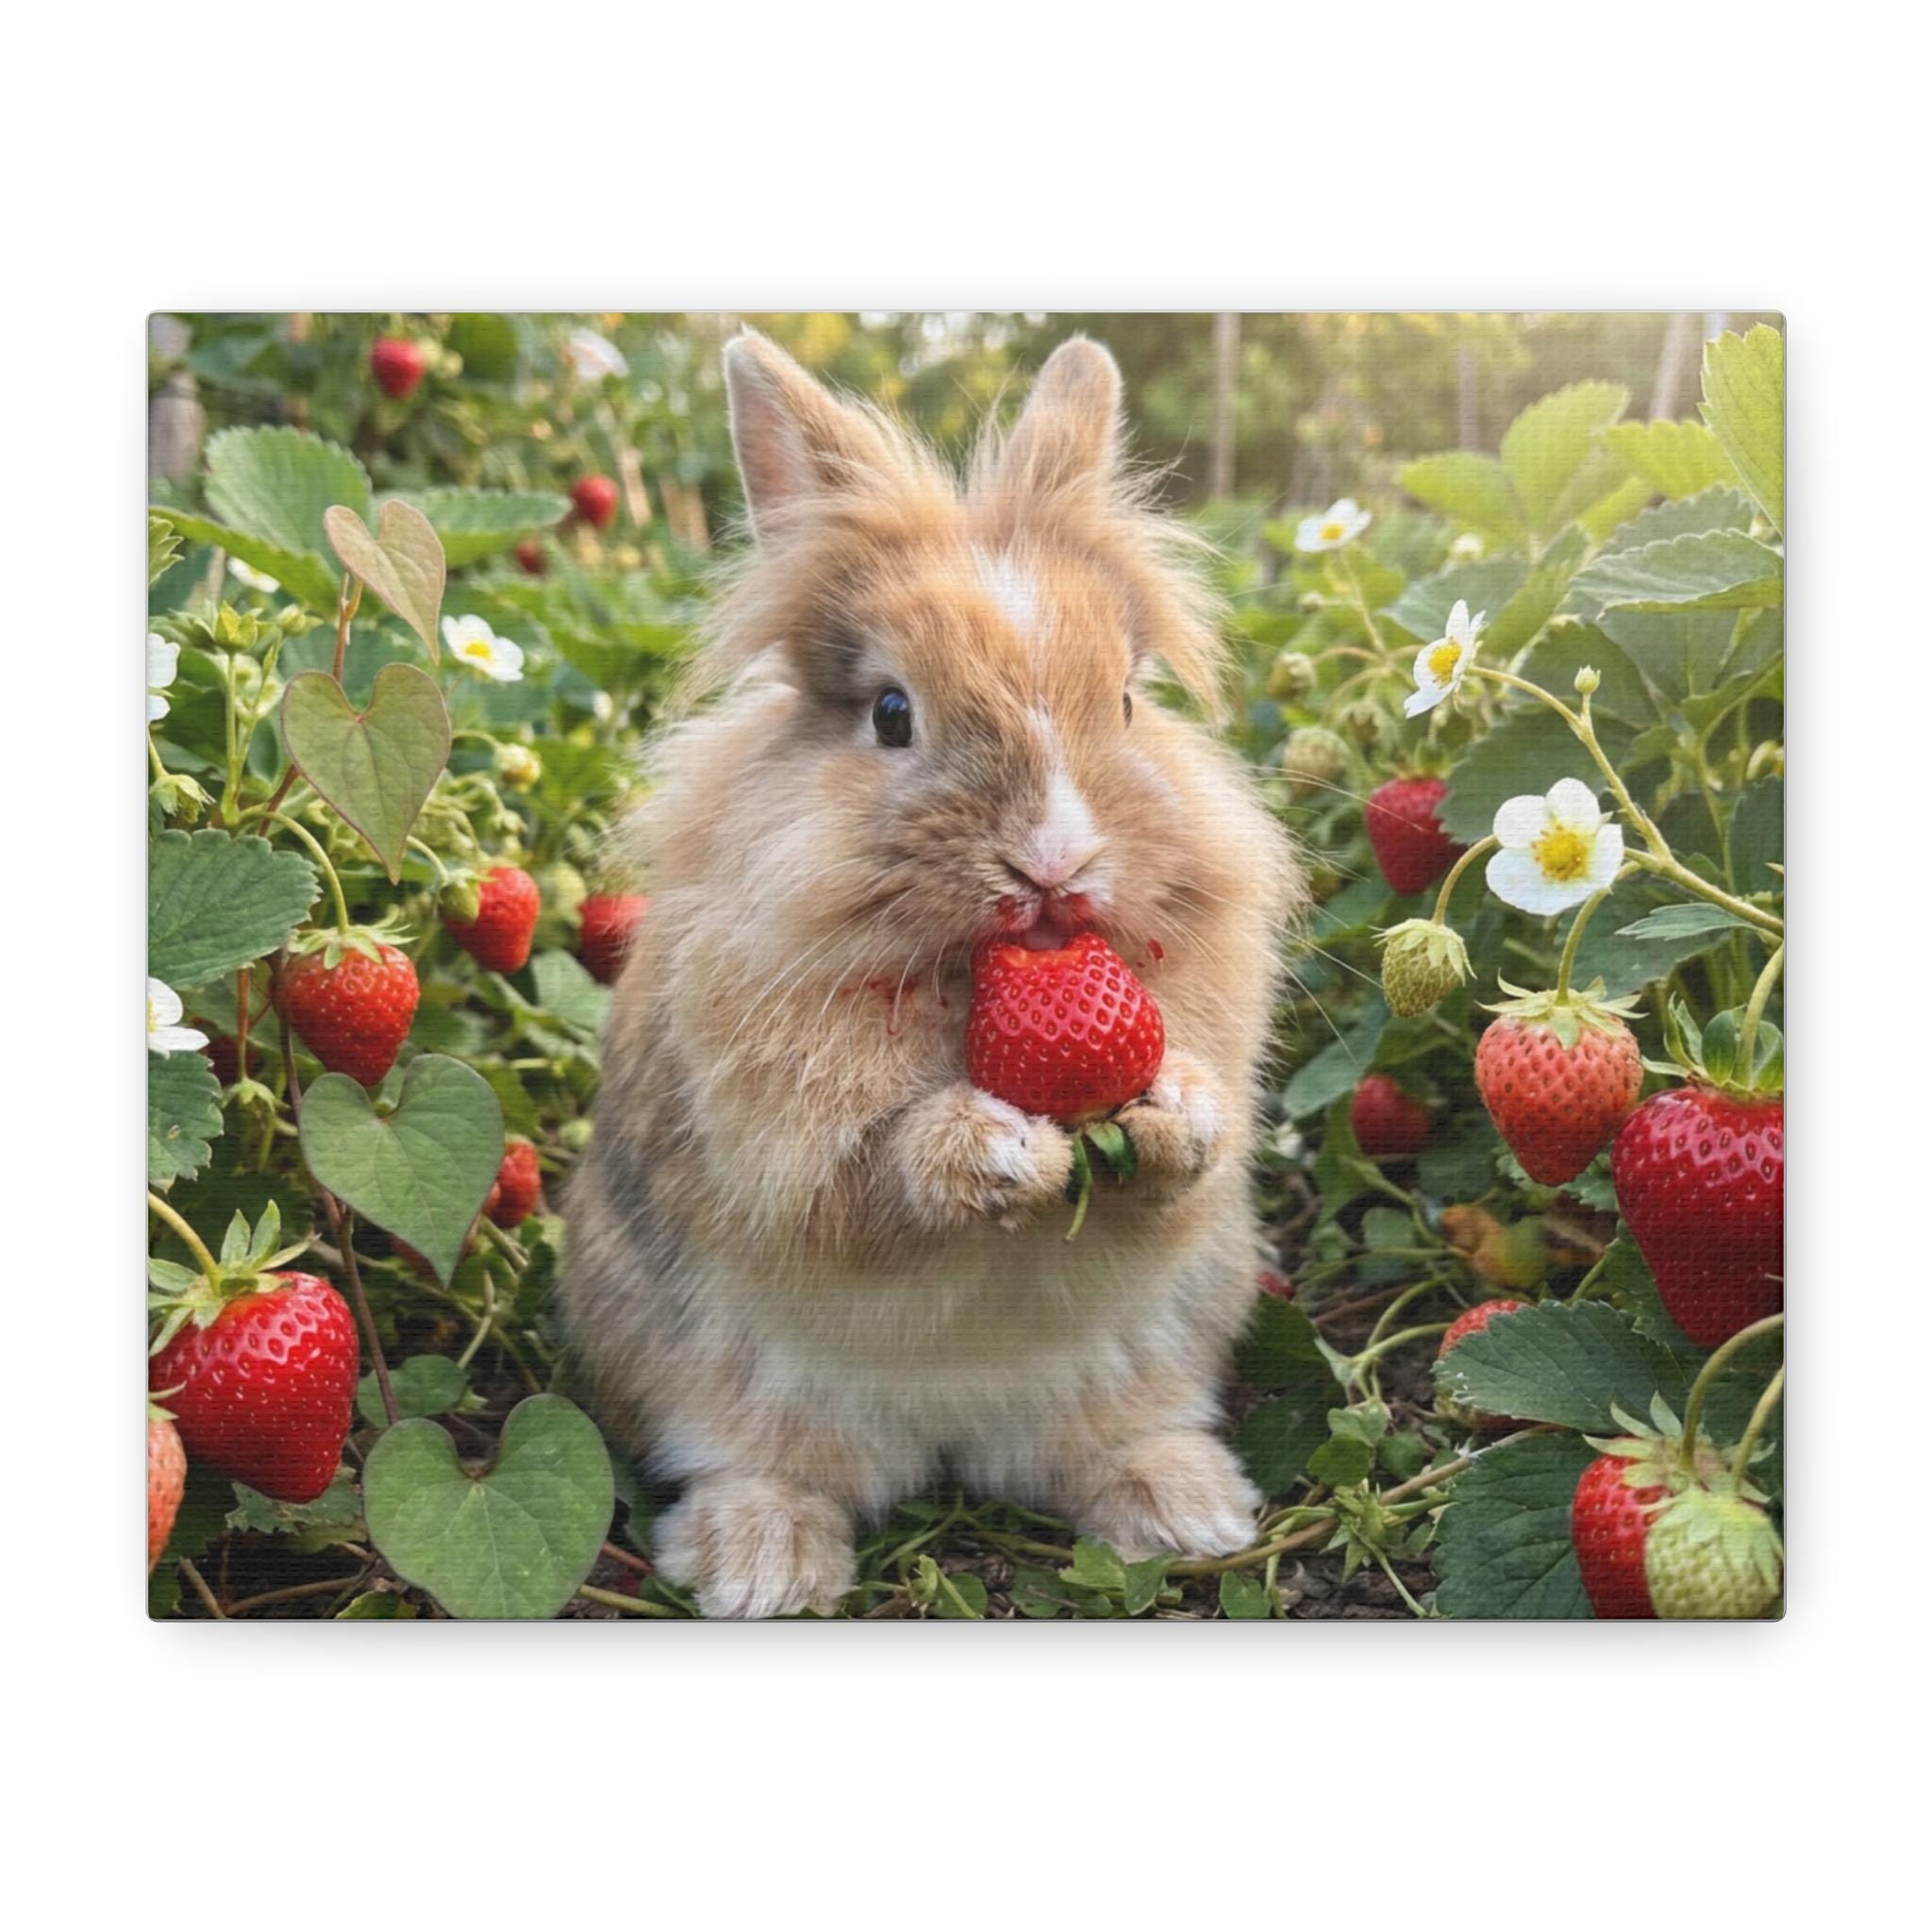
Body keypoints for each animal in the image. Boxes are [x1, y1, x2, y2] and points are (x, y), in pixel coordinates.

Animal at [559, 330, 1302, 1618]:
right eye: (892, 713)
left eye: (1123, 699)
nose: (1054, 862)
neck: (974, 977)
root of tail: (951, 1443)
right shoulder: (781, 1142)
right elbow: (866, 1182)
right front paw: (995, 1151)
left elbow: (1186, 1158)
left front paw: (1169, 1117)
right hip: (694, 1365)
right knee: (759, 1462)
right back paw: (763, 1562)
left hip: (1153, 1347)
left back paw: (1181, 1508)